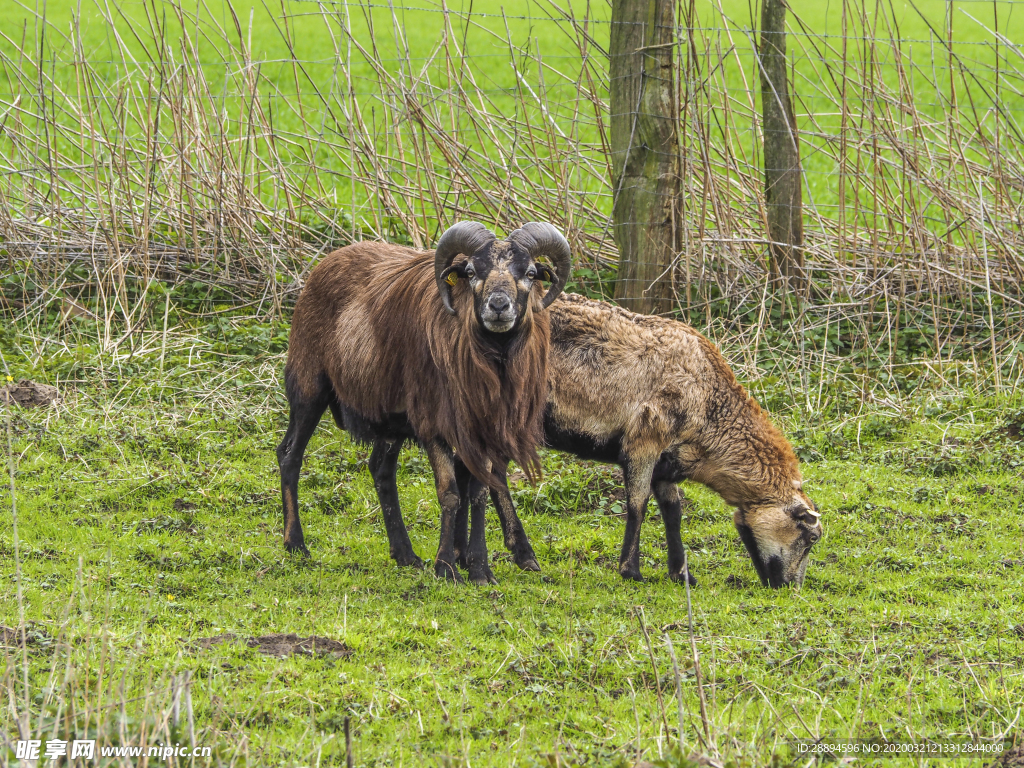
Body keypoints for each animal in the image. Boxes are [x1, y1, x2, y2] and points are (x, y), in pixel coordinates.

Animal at [276, 222, 573, 581]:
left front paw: (479, 568)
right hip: (309, 385)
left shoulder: (484, 428)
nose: (499, 306)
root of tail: (327, 262)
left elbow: (480, 492)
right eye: (471, 272)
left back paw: (405, 554)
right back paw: (296, 545)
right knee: (290, 456)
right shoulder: (435, 423)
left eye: (530, 272)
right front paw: (446, 566)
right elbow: (449, 493)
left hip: (390, 417)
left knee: (381, 471)